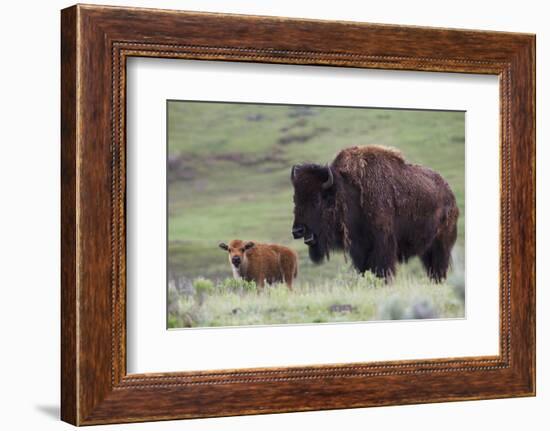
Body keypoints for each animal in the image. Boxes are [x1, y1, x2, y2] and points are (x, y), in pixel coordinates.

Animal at [294, 145, 462, 284]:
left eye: (316, 200)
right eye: (295, 199)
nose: (297, 231)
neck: (347, 192)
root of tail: (450, 195)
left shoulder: (382, 244)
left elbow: (382, 269)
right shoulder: (359, 249)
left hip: (441, 245)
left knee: (439, 267)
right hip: (426, 250)